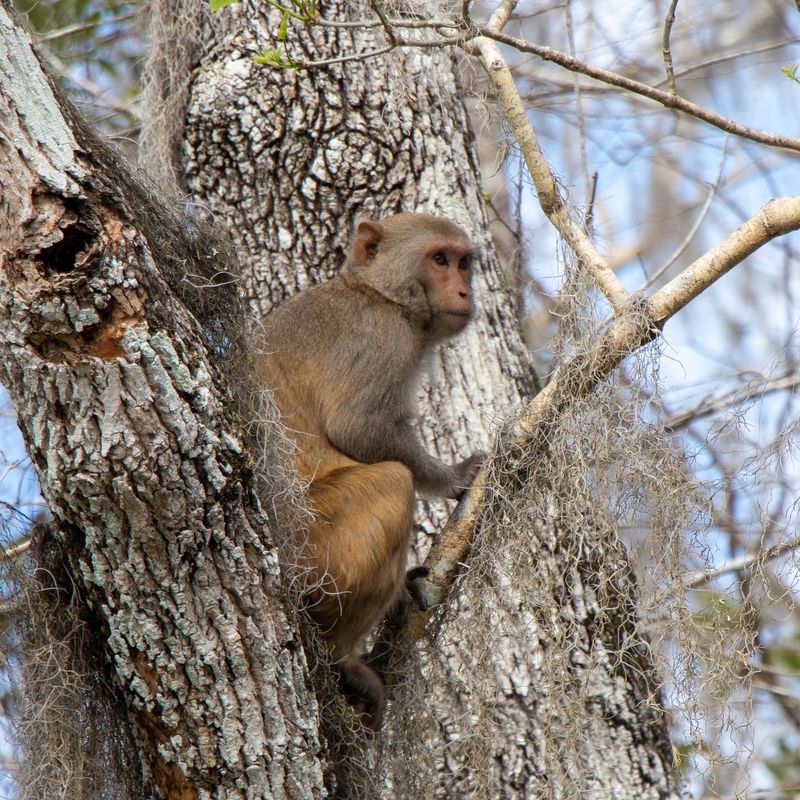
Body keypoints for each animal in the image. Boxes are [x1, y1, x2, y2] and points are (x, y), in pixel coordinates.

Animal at [257, 212, 483, 730]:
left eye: (464, 263)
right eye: (440, 260)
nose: (465, 292)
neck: (379, 294)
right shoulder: (384, 340)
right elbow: (357, 427)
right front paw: (455, 478)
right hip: (317, 555)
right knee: (393, 481)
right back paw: (343, 658)